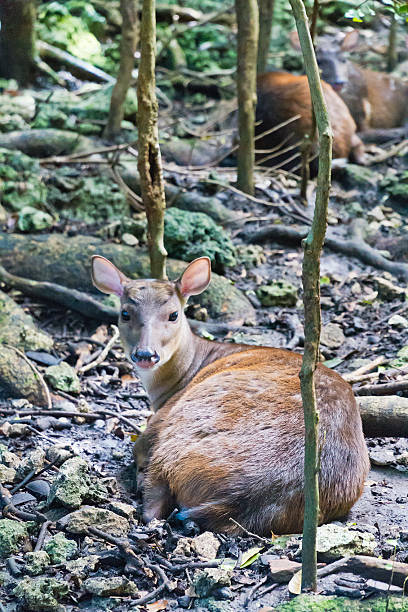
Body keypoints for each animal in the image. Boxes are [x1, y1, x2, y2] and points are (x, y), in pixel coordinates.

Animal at [91, 253, 370, 536]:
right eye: (125, 313)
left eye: (173, 314)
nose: (146, 354)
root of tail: (239, 498)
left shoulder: (162, 415)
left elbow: (138, 445)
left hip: (179, 430)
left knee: (153, 503)